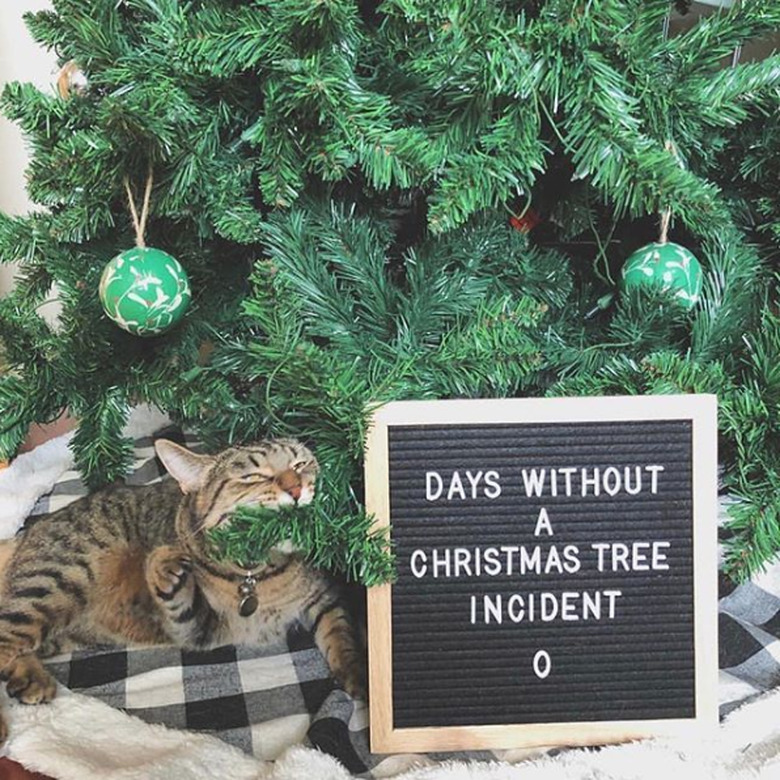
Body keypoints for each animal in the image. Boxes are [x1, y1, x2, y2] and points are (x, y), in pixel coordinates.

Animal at [0, 438, 366, 744]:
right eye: (252, 476)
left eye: (301, 464)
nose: (296, 486)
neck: (258, 573)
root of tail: (28, 533)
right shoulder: (198, 630)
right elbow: (179, 597)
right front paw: (161, 563)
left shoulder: (324, 597)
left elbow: (341, 636)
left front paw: (359, 677)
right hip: (55, 583)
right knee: (6, 636)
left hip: (60, 627)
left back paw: (31, 678)